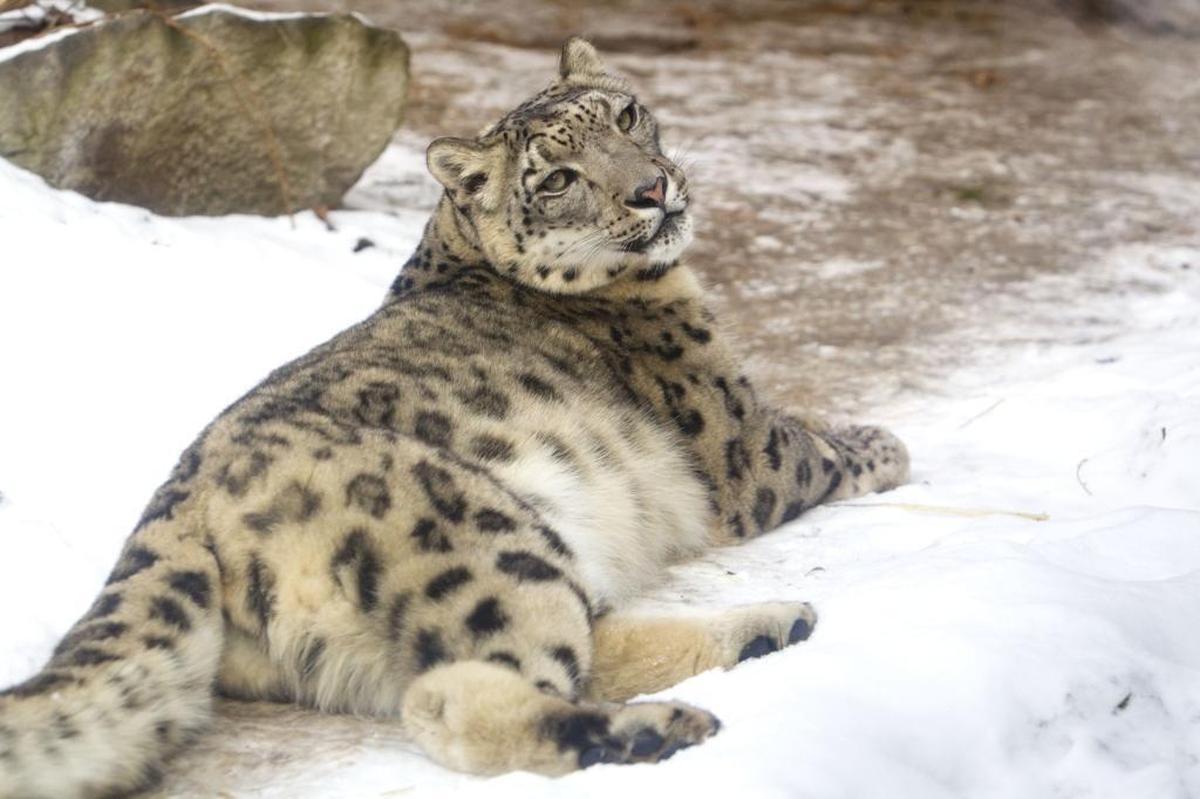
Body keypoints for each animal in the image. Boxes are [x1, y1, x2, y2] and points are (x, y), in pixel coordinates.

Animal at [0, 37, 908, 798]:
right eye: (557, 178)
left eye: (625, 115)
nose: (653, 190)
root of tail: (174, 504)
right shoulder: (739, 438)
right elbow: (813, 444)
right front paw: (884, 442)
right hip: (488, 545)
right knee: (461, 693)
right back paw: (660, 728)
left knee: (586, 642)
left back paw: (772, 628)